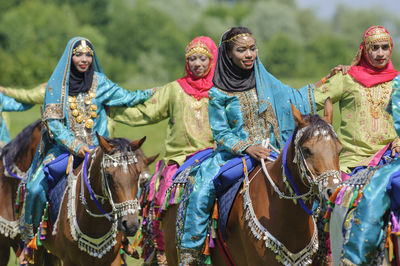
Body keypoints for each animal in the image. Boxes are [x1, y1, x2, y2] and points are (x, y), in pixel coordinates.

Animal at [41, 135, 158, 266]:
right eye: (108, 175)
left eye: (137, 174)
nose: (131, 225)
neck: (94, 224)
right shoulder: (69, 260)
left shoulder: (114, 260)